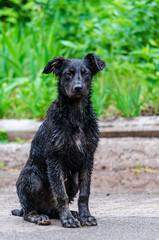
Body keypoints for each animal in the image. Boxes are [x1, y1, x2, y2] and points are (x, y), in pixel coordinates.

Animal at [11, 53, 105, 228]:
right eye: (68, 73)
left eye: (86, 73)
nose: (78, 88)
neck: (75, 115)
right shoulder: (55, 159)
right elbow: (61, 194)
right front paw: (67, 219)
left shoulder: (88, 158)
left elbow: (84, 193)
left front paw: (85, 216)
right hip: (31, 178)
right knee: (28, 212)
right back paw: (39, 217)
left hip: (73, 180)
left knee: (54, 209)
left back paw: (72, 213)